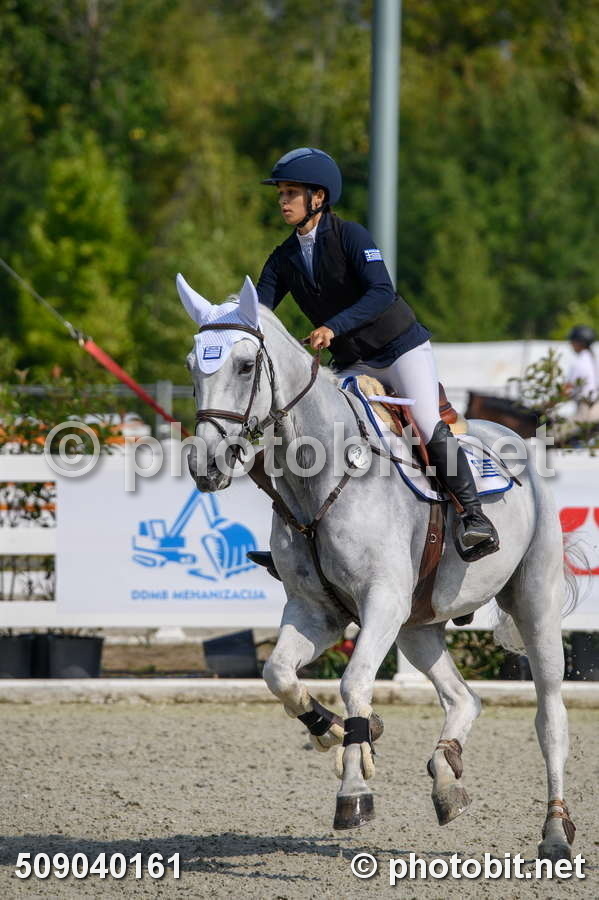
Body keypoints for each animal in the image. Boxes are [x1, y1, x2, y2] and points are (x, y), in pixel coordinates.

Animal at [178, 273, 577, 862]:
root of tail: (512, 439)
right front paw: (331, 731)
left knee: (550, 716)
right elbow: (279, 675)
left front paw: (354, 791)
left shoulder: (381, 602)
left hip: (533, 604)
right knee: (464, 697)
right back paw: (446, 777)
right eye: (191, 364)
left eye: (246, 365)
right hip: (418, 624)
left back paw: (554, 831)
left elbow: (355, 682)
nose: (206, 464)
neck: (318, 475)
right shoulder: (316, 612)